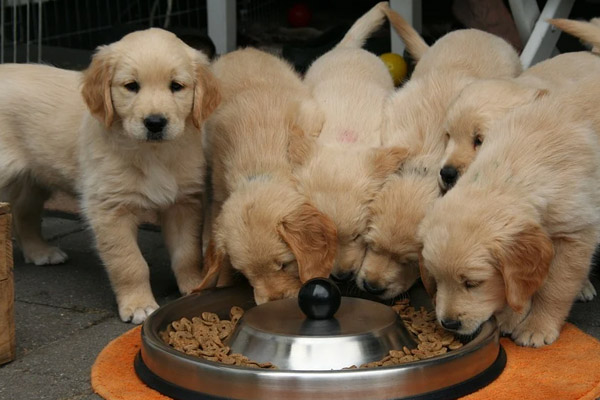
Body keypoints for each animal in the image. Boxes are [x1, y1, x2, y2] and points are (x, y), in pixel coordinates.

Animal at [0, 28, 220, 324]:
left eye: (176, 86)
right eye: (131, 86)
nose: (155, 123)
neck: (152, 153)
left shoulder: (183, 203)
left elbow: (187, 253)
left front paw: (194, 286)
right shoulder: (109, 209)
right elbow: (129, 262)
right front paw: (138, 304)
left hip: (34, 176)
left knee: (23, 211)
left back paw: (40, 251)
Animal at [197, 47, 338, 304]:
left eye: (284, 265)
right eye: (244, 273)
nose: (274, 300)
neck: (260, 168)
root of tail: (241, 50)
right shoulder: (219, 188)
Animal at [420, 87, 600, 346]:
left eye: (472, 283)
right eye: (436, 279)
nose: (449, 323)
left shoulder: (574, 235)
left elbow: (555, 287)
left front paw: (537, 325)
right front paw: (512, 315)